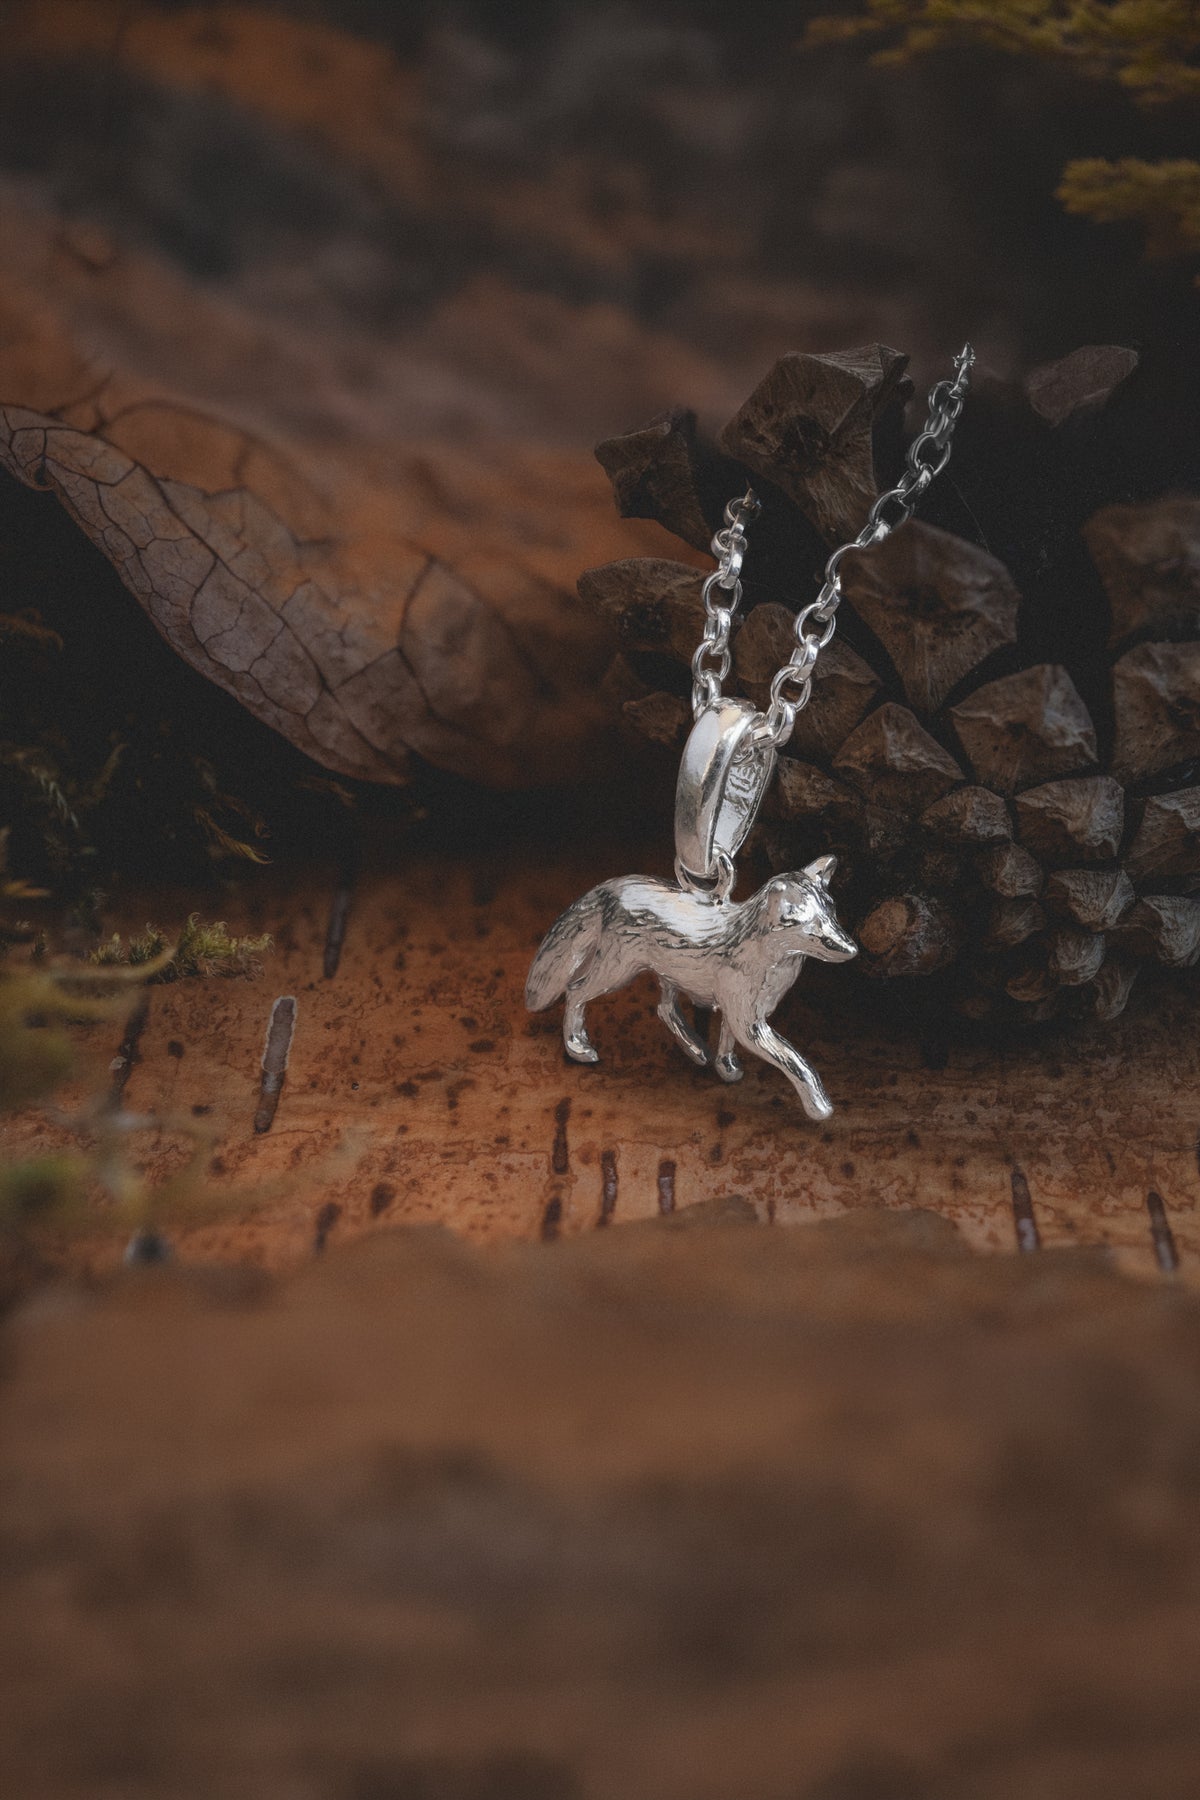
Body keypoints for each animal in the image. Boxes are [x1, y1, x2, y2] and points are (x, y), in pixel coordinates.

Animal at [525, 854, 857, 1121]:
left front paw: (726, 1069)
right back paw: (577, 1046)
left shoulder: (738, 1013)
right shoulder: (750, 1024)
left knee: (663, 1009)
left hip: (666, 973)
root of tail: (616, 885)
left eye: (831, 912)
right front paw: (819, 1107)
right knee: (575, 990)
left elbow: (726, 1041)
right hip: (617, 973)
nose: (852, 950)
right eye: (810, 926)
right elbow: (797, 1063)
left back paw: (696, 1049)